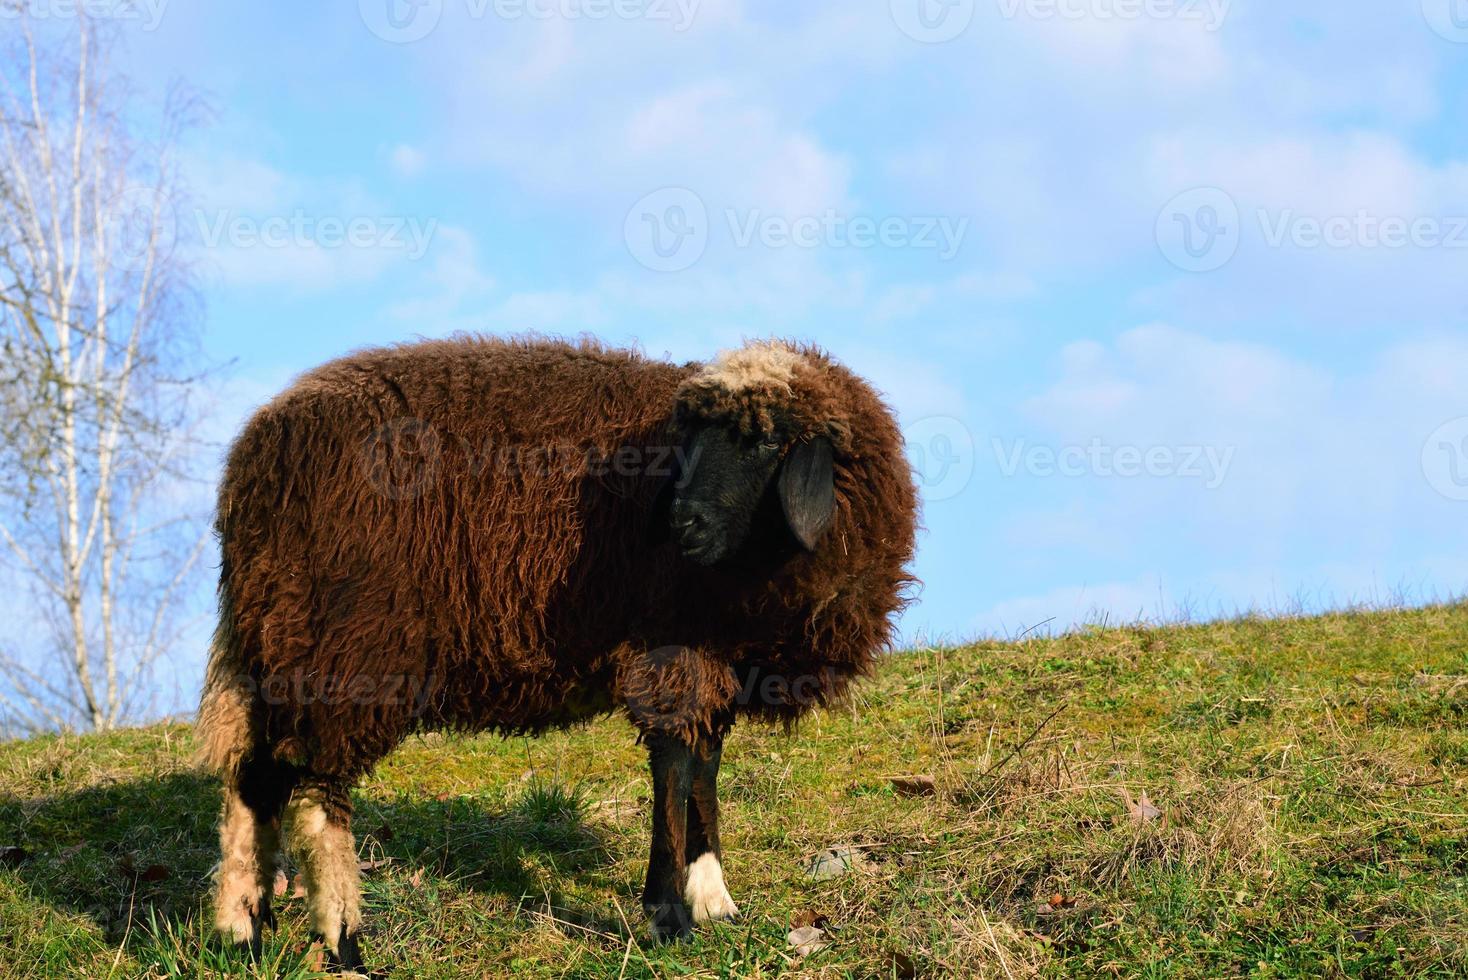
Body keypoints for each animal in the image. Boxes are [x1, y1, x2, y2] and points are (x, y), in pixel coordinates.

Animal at [189, 337, 910, 974]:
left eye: (763, 441)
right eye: (696, 441)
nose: (680, 523)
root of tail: (259, 458)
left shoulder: (718, 661)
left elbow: (705, 767)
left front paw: (713, 896)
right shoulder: (671, 644)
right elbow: (676, 770)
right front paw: (668, 915)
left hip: (277, 638)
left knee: (255, 777)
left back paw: (242, 932)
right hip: (348, 642)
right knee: (317, 794)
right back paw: (343, 944)